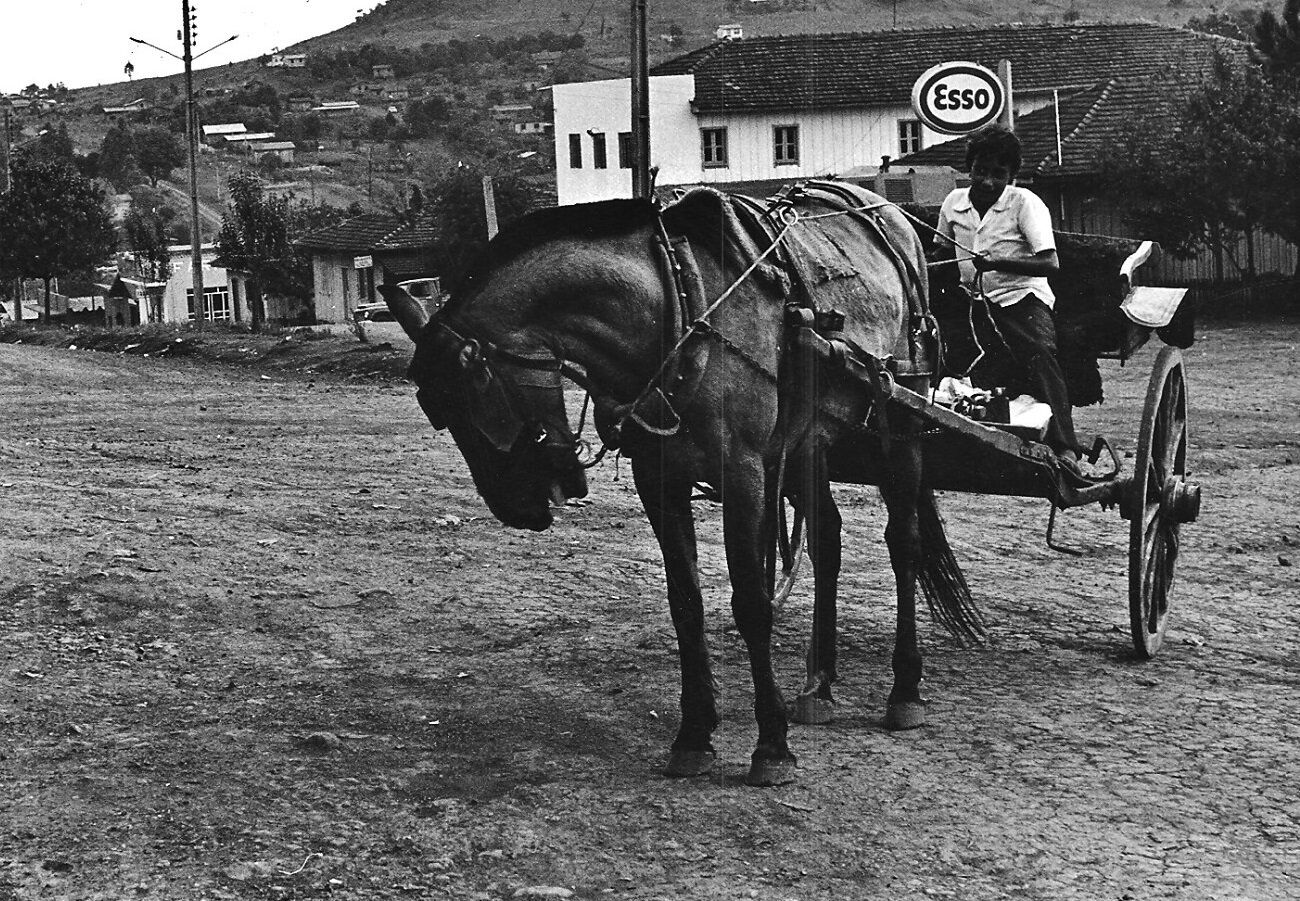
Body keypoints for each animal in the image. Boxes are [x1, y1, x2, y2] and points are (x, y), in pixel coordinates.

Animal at [379, 183, 977, 785]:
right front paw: (694, 734)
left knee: (904, 543)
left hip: (902, 411)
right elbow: (684, 602)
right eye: (438, 413)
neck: (676, 303)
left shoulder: (743, 473)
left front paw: (771, 744)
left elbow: (751, 603)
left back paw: (905, 690)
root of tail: (887, 210)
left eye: (471, 398)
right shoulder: (659, 479)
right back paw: (820, 685)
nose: (518, 508)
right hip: (810, 437)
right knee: (827, 540)